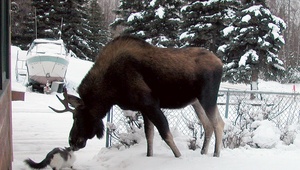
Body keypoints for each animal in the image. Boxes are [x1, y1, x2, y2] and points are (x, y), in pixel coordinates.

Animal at [49, 35, 224, 157]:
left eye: (76, 117)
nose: (72, 141)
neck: (110, 91)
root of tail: (220, 63)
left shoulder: (150, 103)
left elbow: (165, 134)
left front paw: (179, 157)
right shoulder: (144, 109)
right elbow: (149, 136)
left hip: (207, 97)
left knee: (218, 123)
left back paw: (216, 154)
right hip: (196, 102)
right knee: (208, 125)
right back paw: (203, 152)